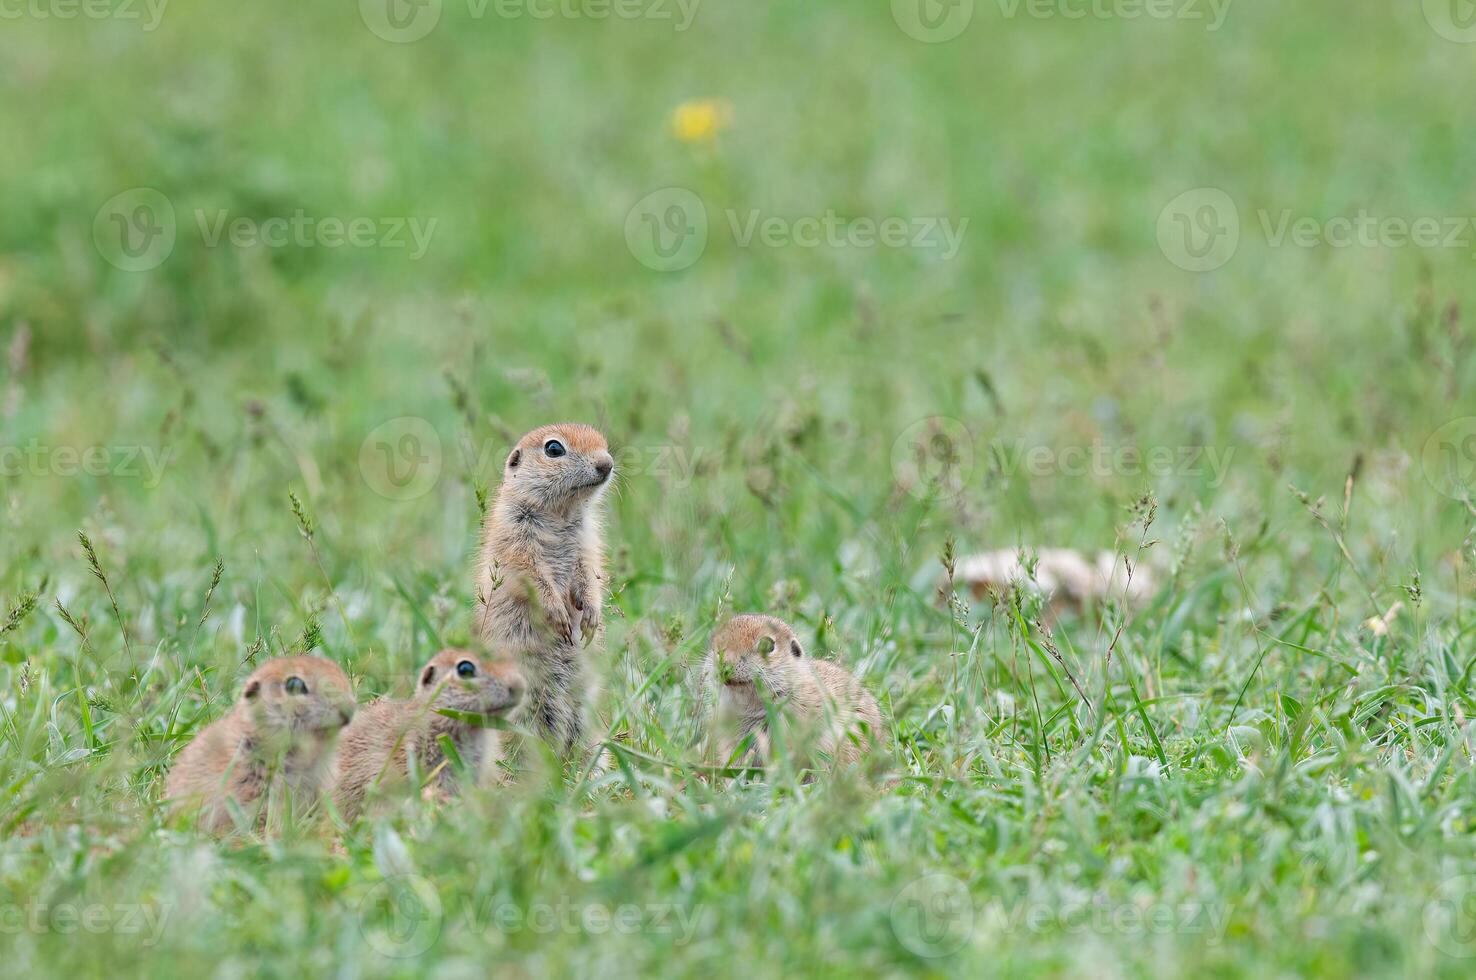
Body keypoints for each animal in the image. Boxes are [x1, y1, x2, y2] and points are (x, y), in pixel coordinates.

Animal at [472, 422, 611, 749]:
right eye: (554, 448)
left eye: (604, 443)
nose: (607, 464)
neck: (561, 512)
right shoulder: (515, 538)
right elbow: (531, 576)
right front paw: (558, 614)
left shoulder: (587, 543)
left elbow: (590, 575)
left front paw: (591, 617)